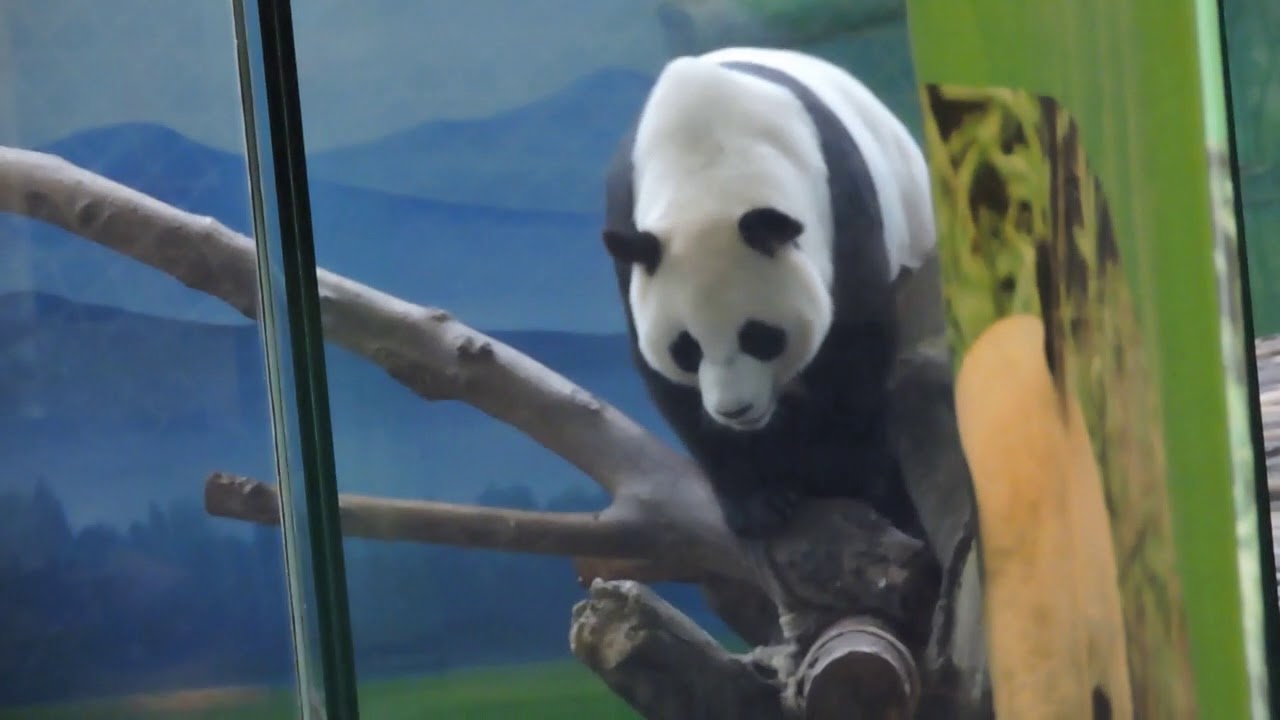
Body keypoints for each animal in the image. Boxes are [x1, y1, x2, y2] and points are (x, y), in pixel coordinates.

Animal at [601, 46, 937, 539]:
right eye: (686, 348)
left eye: (759, 335)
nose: (735, 410)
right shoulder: (631, 239)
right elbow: (669, 386)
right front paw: (759, 502)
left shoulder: (842, 208)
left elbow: (854, 345)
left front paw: (843, 473)